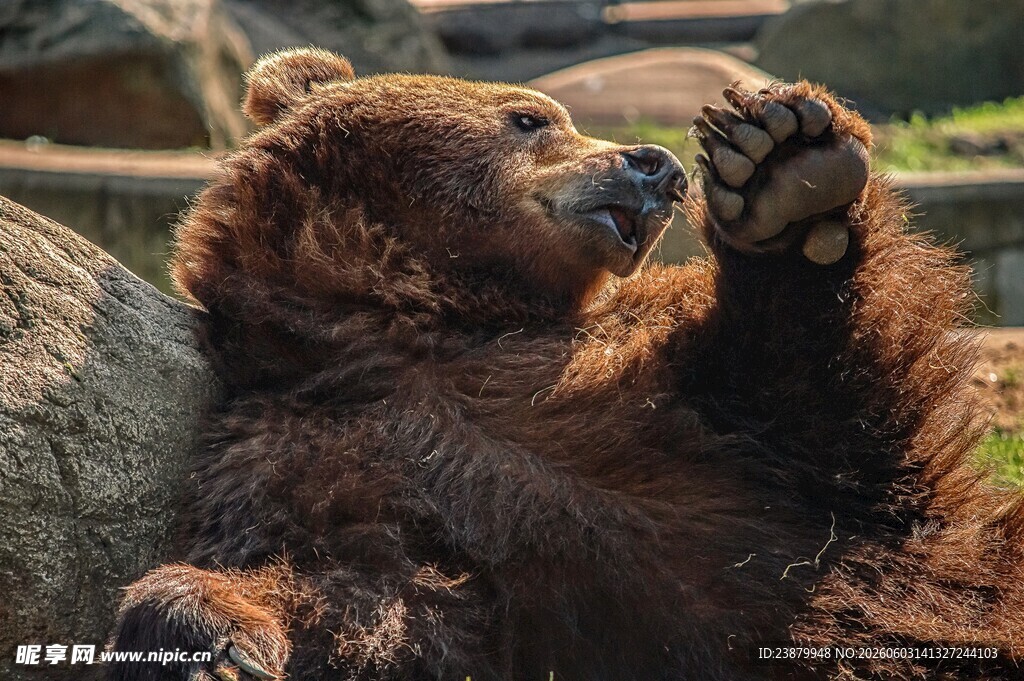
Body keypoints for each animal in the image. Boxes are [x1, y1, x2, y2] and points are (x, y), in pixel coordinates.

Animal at [108, 47, 1024, 680]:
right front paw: (206, 636)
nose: (655, 165)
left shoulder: (661, 390)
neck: (412, 323)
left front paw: (785, 168)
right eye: (528, 116)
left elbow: (837, 423)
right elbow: (364, 592)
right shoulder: (305, 447)